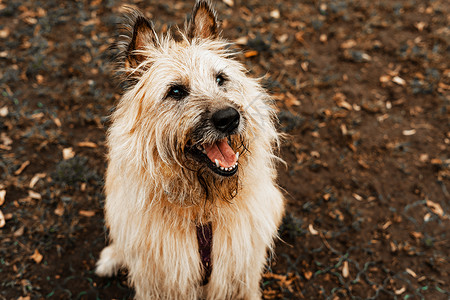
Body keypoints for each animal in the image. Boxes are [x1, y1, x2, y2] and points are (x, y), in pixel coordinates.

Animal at [95, 1, 284, 298]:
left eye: (221, 79)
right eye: (175, 91)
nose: (229, 118)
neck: (202, 210)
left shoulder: (240, 270)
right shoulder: (161, 278)